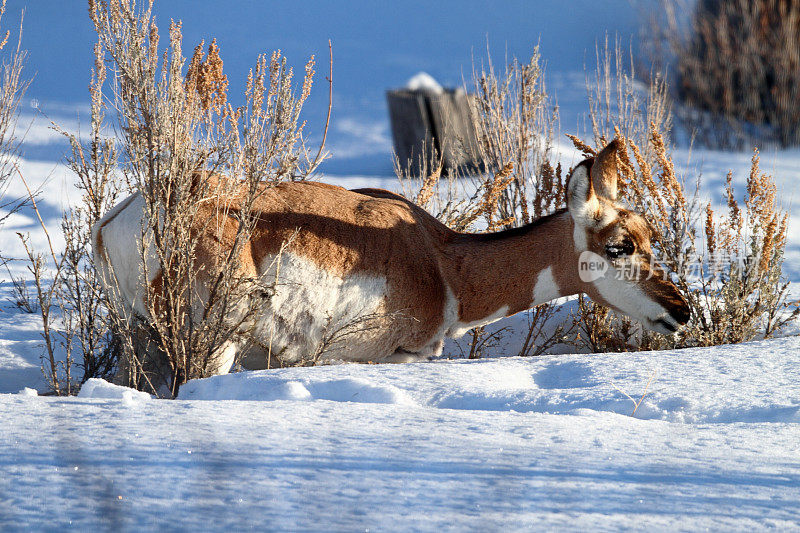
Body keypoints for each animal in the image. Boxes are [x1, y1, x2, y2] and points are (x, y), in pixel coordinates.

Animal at [92, 139, 688, 376]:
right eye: (619, 245)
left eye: (652, 237)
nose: (681, 310)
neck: (443, 261)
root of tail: (132, 210)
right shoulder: (398, 356)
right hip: (213, 344)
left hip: (140, 337)